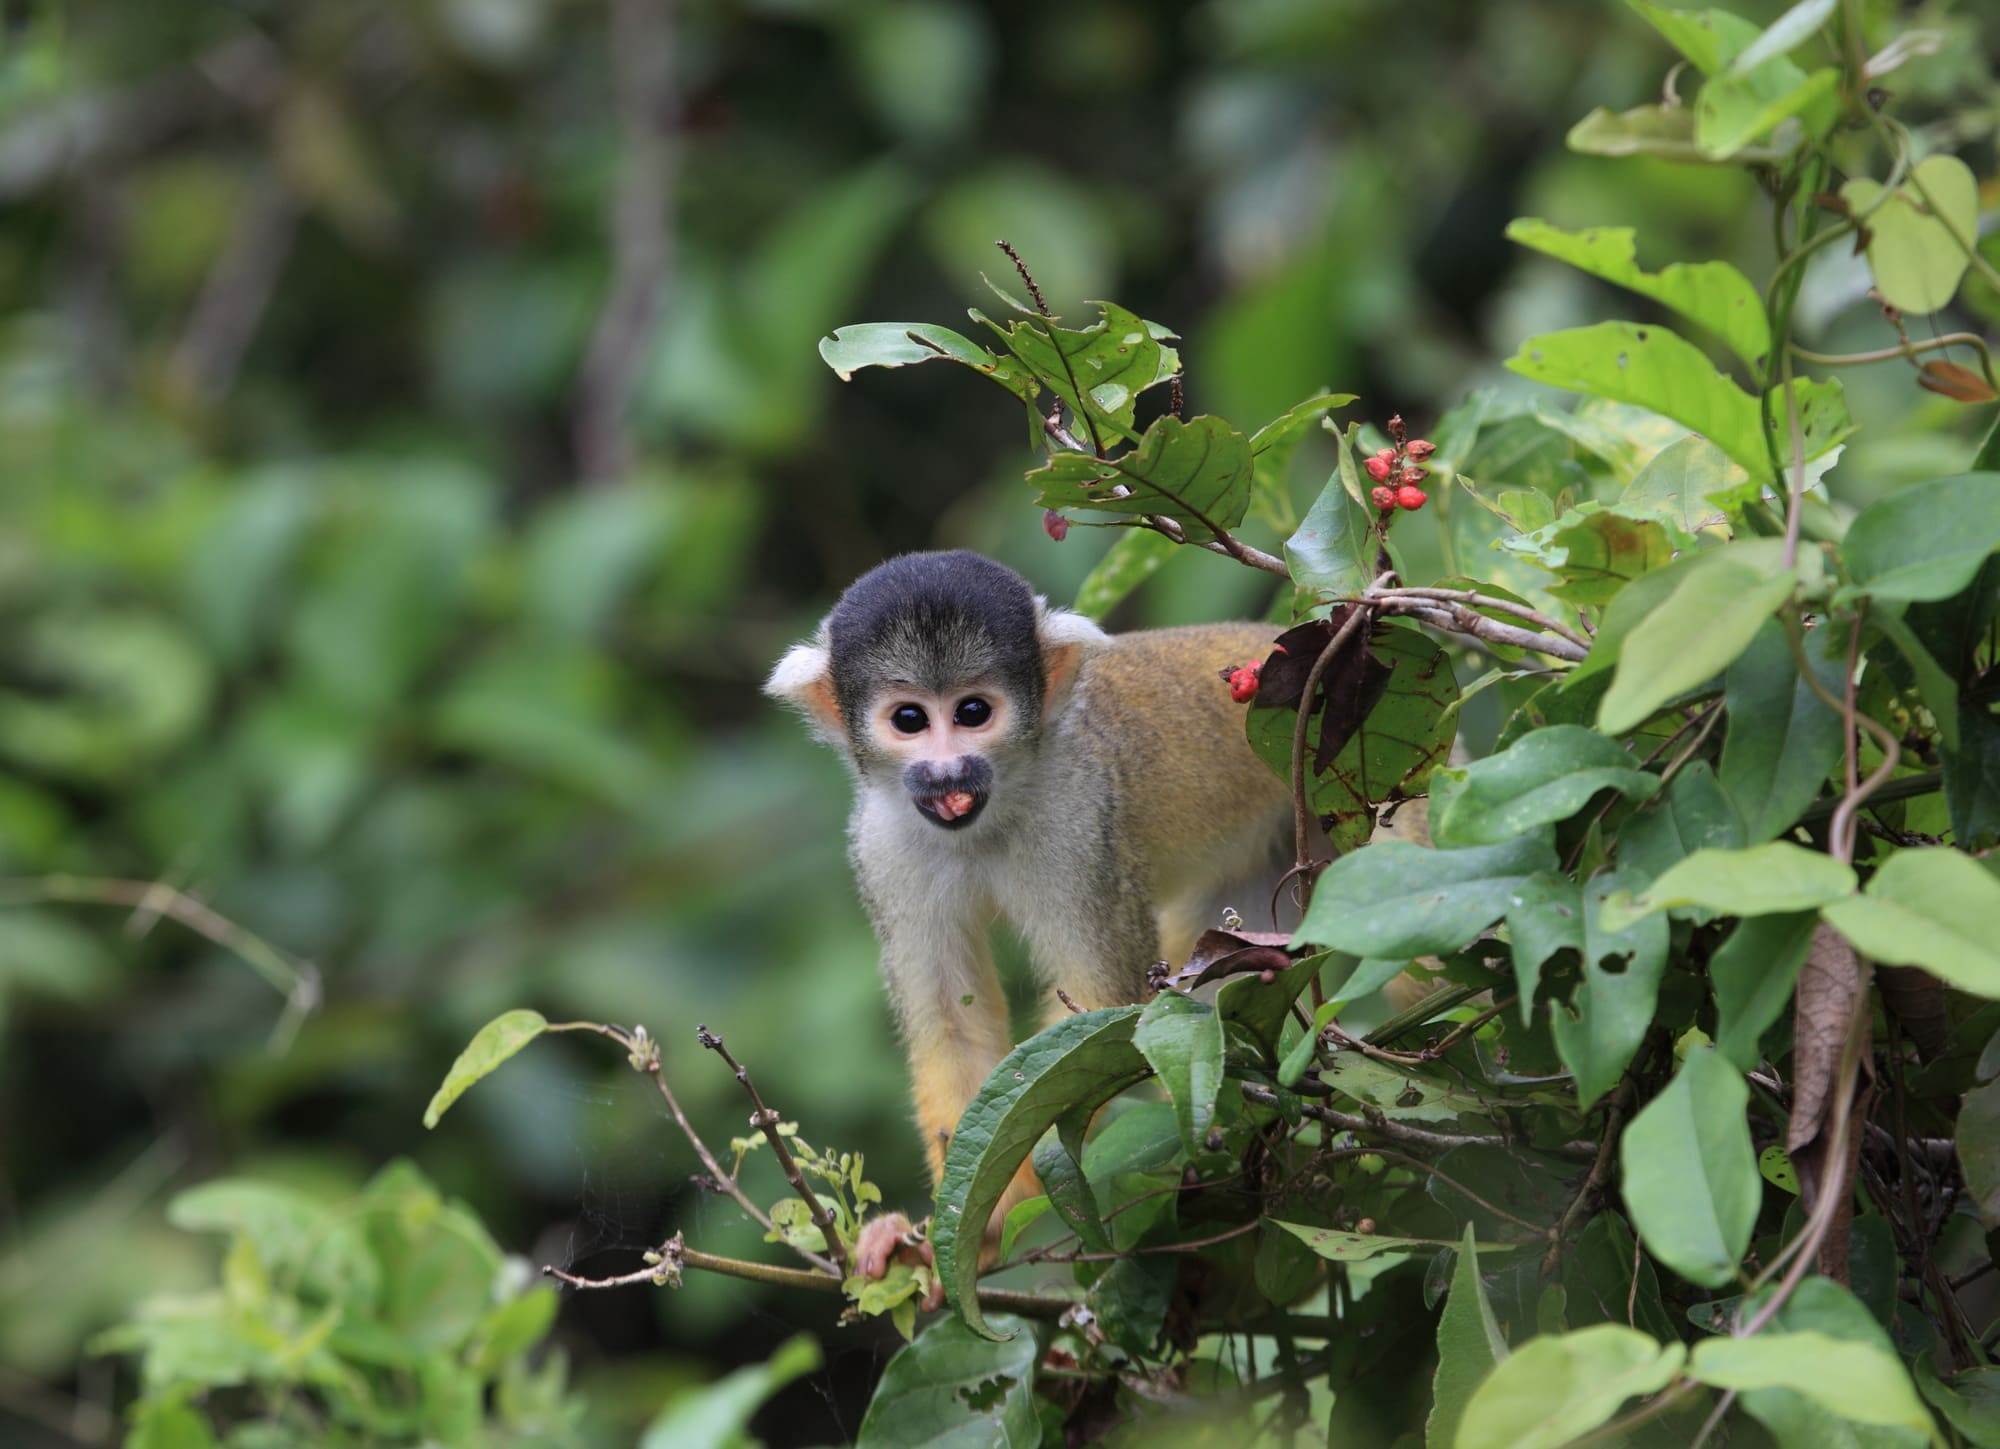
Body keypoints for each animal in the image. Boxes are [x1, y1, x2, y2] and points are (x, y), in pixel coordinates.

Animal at [765, 550, 1304, 1296]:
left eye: (972, 712)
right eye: (909, 719)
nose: (946, 771)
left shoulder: (1081, 819)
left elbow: (1093, 1018)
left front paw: (982, 1221)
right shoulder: (882, 845)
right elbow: (951, 1022)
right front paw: (950, 1232)